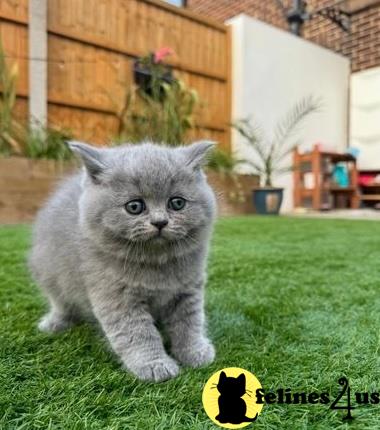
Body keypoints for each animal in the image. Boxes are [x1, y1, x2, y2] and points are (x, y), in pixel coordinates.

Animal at [29, 139, 217, 382]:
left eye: (177, 203)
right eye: (134, 206)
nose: (160, 222)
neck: (156, 264)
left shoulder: (189, 289)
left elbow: (189, 322)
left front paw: (195, 352)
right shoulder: (116, 296)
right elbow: (137, 333)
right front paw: (154, 365)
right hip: (50, 272)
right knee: (61, 302)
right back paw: (55, 323)